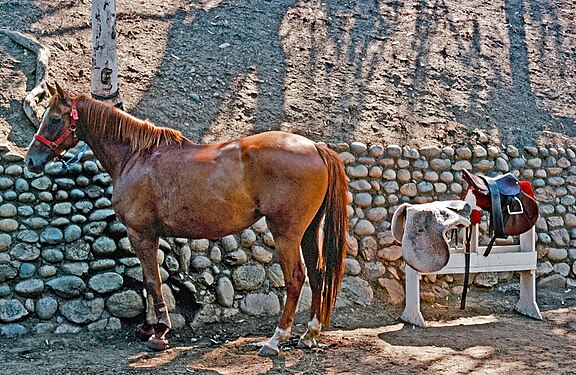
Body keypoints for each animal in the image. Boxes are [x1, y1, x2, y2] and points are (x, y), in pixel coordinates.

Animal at [24, 83, 348, 356]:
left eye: (54, 119)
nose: (31, 160)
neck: (136, 157)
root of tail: (315, 147)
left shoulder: (141, 233)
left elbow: (152, 280)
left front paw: (159, 332)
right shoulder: (147, 234)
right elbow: (148, 280)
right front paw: (149, 327)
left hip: (285, 234)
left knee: (296, 279)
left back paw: (275, 340)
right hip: (309, 232)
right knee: (317, 274)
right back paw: (309, 335)